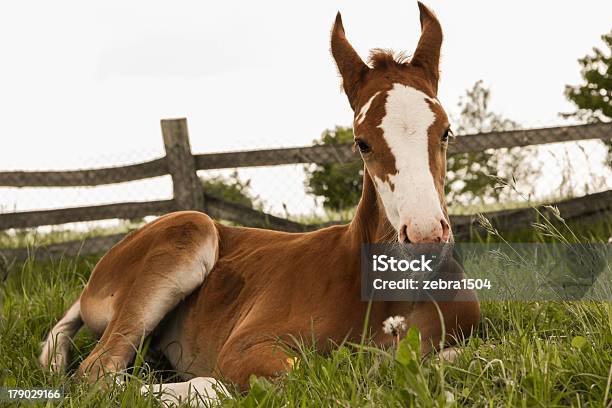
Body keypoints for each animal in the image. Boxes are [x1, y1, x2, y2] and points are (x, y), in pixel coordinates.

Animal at [40, 2, 480, 404]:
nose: (424, 235)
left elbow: (458, 359)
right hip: (189, 229)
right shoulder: (245, 346)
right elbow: (300, 375)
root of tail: (97, 276)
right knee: (98, 373)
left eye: (446, 131)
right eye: (362, 143)